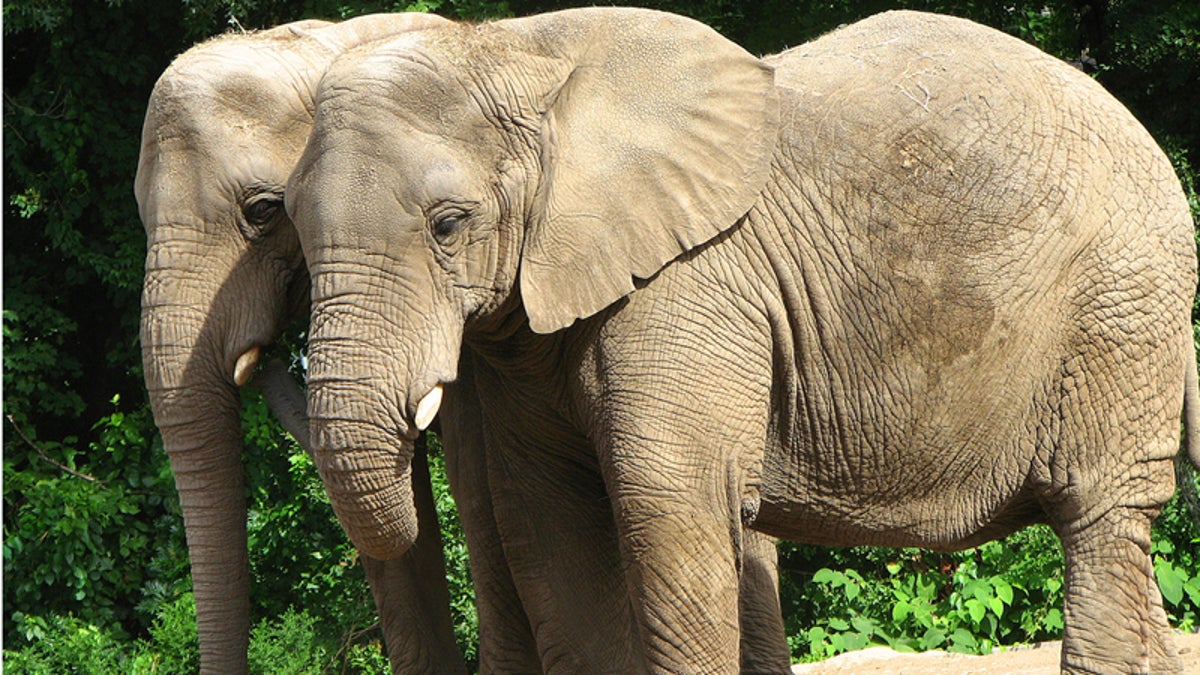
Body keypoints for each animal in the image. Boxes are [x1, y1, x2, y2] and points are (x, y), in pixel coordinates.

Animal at [287, 6, 1200, 674]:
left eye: (448, 224)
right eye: (281, 218)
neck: (519, 49)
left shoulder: (688, 286)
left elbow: (667, 504)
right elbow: (548, 523)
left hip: (1121, 306)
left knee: (1099, 512)